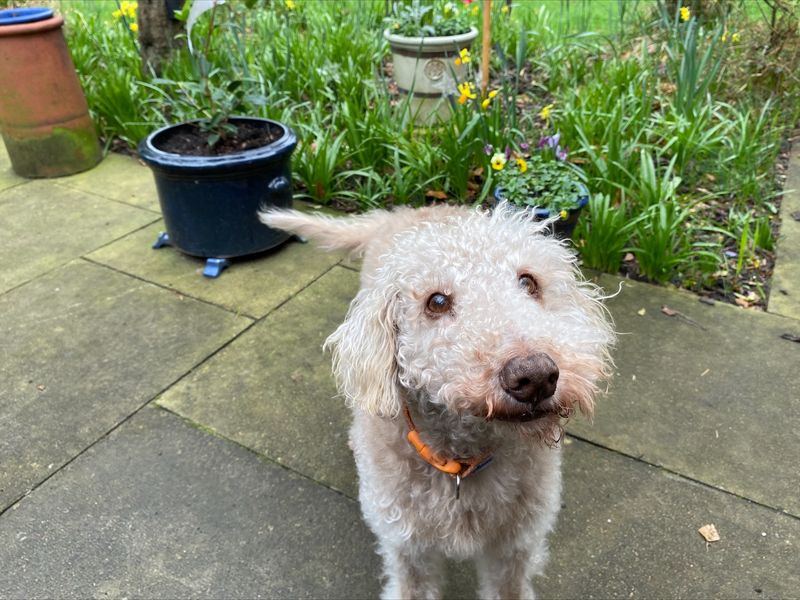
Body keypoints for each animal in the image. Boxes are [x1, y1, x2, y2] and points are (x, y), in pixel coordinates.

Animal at [260, 204, 612, 596]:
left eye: (529, 282)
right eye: (437, 302)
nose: (535, 377)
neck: (462, 459)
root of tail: (405, 212)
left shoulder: (514, 547)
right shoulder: (407, 547)